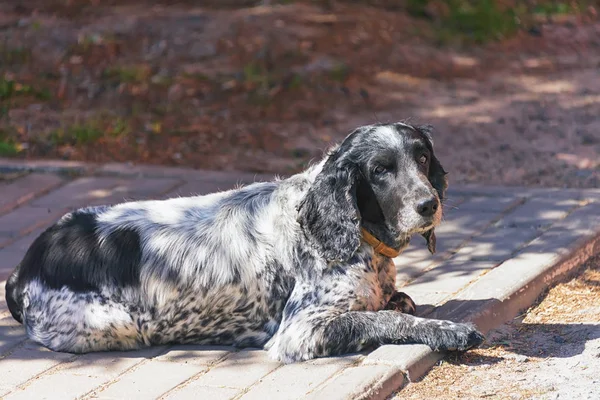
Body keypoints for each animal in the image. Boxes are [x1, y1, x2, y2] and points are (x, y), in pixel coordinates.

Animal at [3, 122, 482, 362]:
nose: (429, 204)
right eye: (381, 170)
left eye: (423, 158)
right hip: (113, 324)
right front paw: (449, 331)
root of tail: (25, 265)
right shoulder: (301, 331)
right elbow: (385, 319)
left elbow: (396, 304)